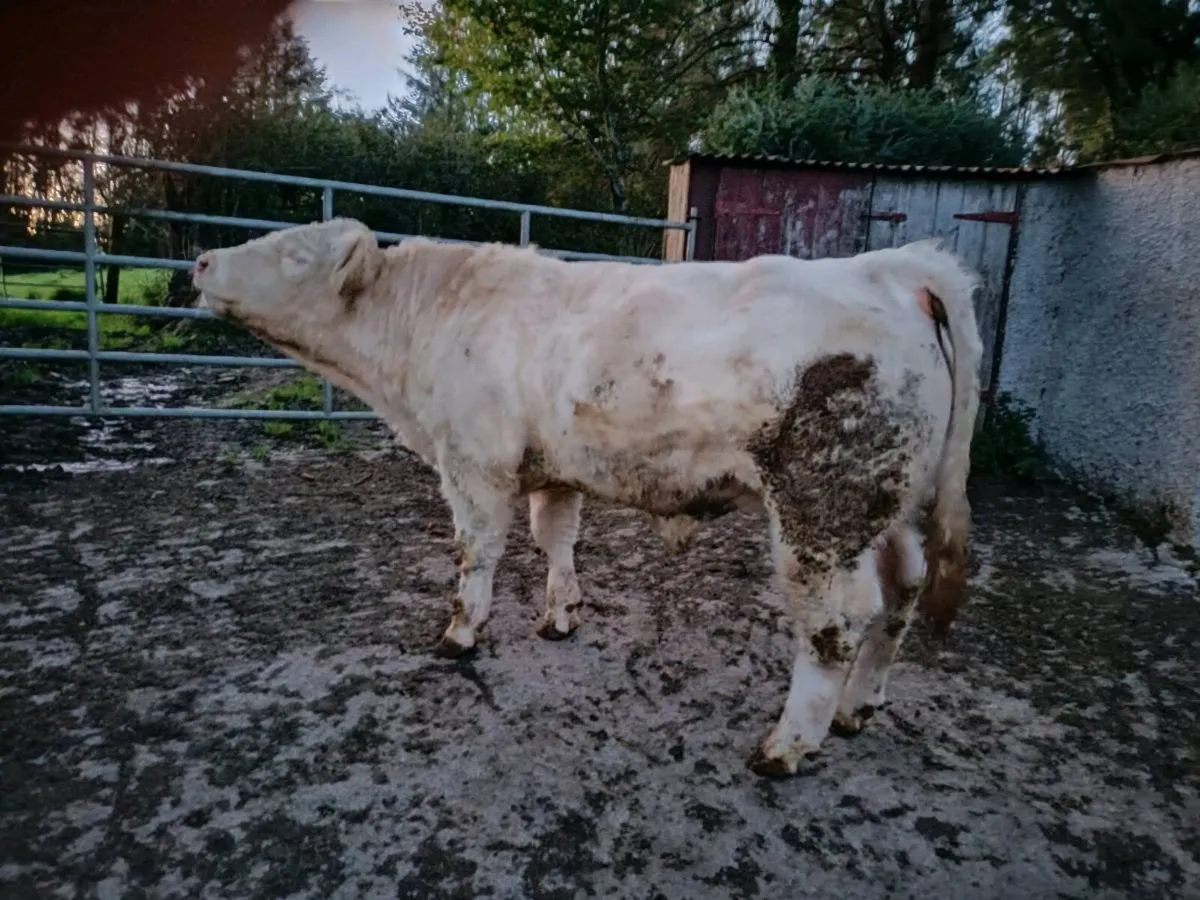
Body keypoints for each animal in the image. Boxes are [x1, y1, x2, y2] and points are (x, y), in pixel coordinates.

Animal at [192, 218, 983, 777]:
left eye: (295, 254)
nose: (199, 262)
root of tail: (895, 268)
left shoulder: (473, 462)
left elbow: (476, 552)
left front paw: (460, 633)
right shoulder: (552, 469)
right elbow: (557, 539)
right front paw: (560, 615)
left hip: (821, 512)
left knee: (835, 626)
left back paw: (785, 747)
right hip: (890, 509)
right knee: (903, 591)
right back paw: (857, 709)